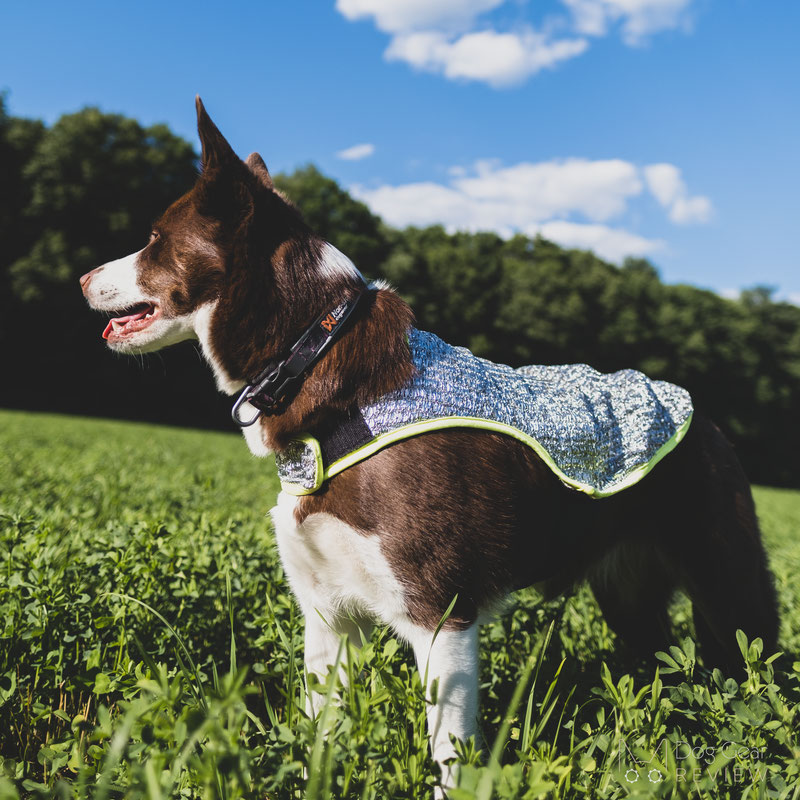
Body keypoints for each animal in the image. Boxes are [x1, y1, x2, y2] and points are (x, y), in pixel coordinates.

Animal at [81, 98, 780, 788]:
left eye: (154, 241)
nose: (84, 277)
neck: (316, 361)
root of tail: (702, 416)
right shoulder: (328, 617)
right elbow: (319, 733)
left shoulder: (441, 617)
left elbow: (448, 756)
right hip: (631, 595)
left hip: (731, 583)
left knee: (759, 670)